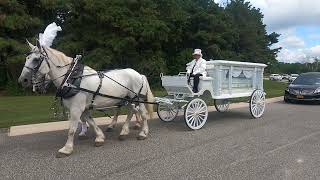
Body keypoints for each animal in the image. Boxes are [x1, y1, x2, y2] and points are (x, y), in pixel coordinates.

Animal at [18, 41, 154, 157]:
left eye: (36, 60)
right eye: (27, 58)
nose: (22, 80)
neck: (71, 79)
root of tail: (139, 74)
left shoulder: (76, 108)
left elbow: (72, 129)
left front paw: (66, 149)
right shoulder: (82, 108)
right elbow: (90, 121)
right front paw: (99, 137)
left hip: (137, 99)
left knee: (142, 114)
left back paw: (143, 133)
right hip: (128, 100)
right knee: (131, 112)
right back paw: (124, 132)